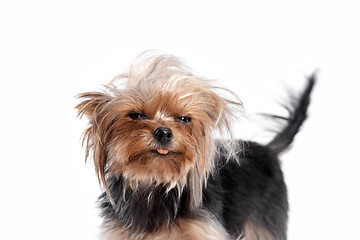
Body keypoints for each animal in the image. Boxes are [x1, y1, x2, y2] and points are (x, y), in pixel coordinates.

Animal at [76, 53, 316, 240]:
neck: (155, 182)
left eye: (184, 119)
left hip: (265, 221)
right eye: (136, 115)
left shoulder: (204, 230)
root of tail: (268, 150)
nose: (164, 132)